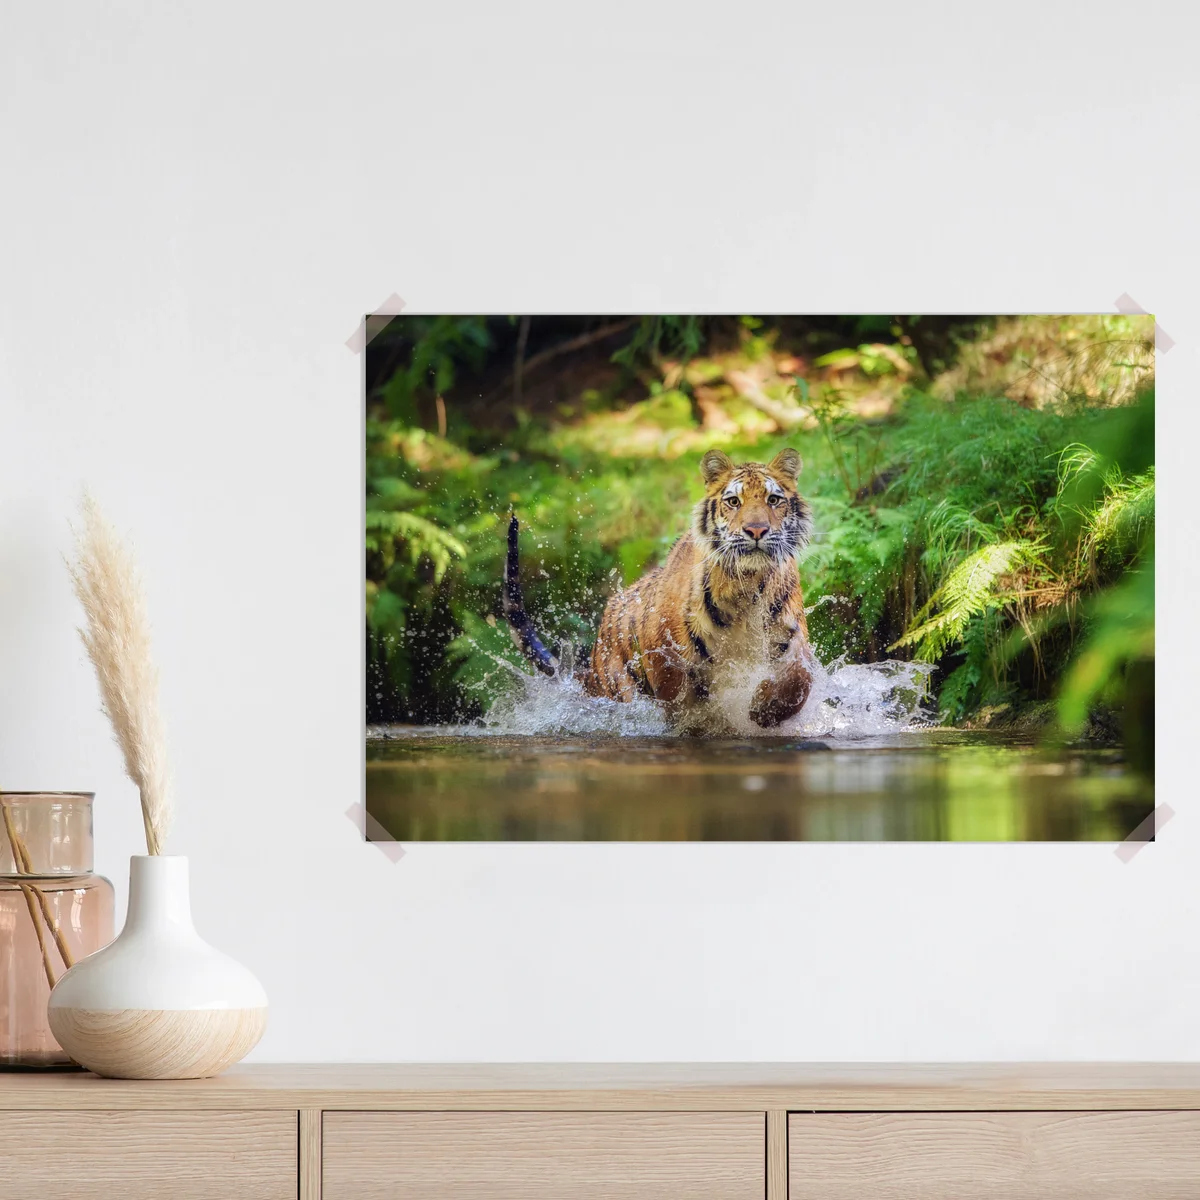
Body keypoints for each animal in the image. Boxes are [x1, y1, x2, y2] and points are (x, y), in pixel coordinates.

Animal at [503, 447, 816, 729]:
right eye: (733, 501)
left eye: (773, 500)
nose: (757, 530)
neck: (745, 586)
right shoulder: (665, 655)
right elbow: (681, 702)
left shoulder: (791, 635)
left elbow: (801, 677)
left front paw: (765, 709)